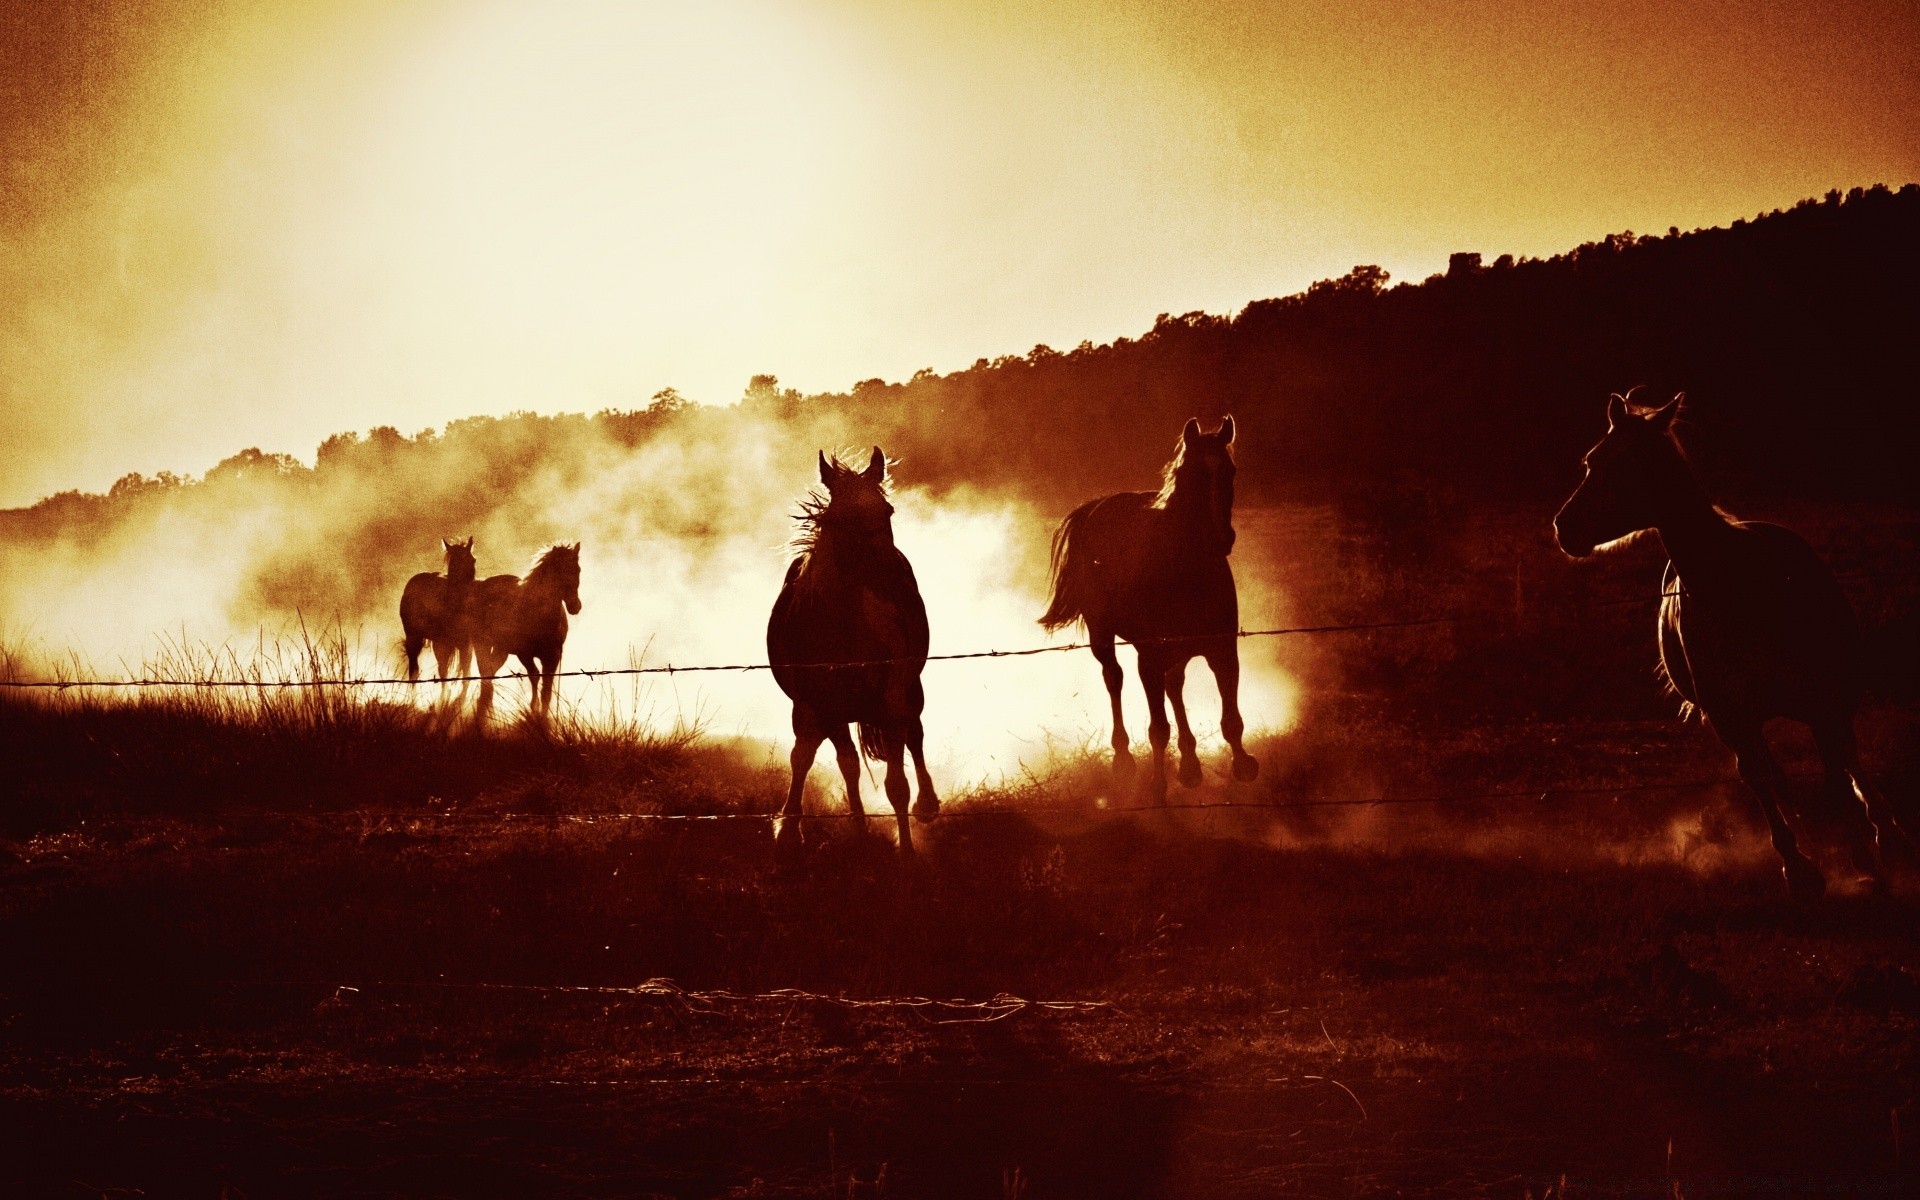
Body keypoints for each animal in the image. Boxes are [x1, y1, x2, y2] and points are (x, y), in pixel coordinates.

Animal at [399, 533, 478, 710]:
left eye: (472, 560)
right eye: (452, 562)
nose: (465, 587)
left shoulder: (466, 645)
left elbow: (466, 672)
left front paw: (460, 702)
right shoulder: (442, 644)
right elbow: (444, 673)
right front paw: (444, 700)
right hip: (414, 638)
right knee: (414, 669)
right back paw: (414, 700)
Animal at [470, 541, 579, 721]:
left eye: (577, 569)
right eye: (559, 571)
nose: (575, 606)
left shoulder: (553, 656)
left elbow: (546, 689)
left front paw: (541, 714)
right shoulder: (525, 654)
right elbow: (534, 677)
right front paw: (533, 710)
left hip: (501, 650)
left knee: (491, 672)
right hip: (482, 644)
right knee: (486, 672)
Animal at [768, 447, 940, 852]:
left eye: (887, 511)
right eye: (838, 519)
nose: (894, 576)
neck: (844, 629)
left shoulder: (892, 699)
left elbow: (897, 783)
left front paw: (907, 850)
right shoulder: (814, 704)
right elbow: (805, 758)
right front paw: (790, 829)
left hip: (910, 692)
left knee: (916, 739)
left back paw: (926, 806)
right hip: (839, 713)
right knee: (849, 760)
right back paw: (860, 828)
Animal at [1036, 416, 1259, 798]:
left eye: (1231, 470)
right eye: (1188, 473)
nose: (1220, 538)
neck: (1187, 574)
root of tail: (1097, 507)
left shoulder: (1223, 650)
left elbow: (1231, 719)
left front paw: (1242, 765)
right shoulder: (1149, 660)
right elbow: (1158, 728)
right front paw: (1157, 785)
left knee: (1175, 685)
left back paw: (1190, 764)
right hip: (1103, 637)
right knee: (1114, 678)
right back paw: (1124, 759)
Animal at [1551, 393, 1912, 898]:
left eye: (1616, 464)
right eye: (1591, 461)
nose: (1564, 527)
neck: (1738, 584)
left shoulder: (1822, 703)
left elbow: (1837, 778)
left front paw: (1864, 864)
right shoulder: (1731, 717)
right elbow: (1762, 779)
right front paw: (1800, 867)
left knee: (1849, 760)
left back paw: (1887, 832)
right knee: (1775, 775)